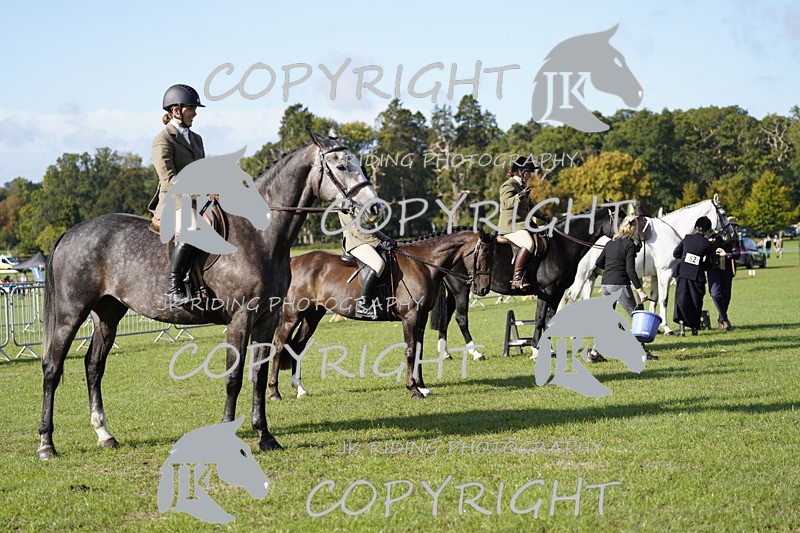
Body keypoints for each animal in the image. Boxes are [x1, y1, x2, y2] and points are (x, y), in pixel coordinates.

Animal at [38, 130, 383, 459]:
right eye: (341, 166)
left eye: (362, 165)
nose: (375, 208)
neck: (257, 236)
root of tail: (72, 232)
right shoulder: (241, 318)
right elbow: (234, 377)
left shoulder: (267, 318)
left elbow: (258, 376)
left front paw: (265, 436)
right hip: (71, 313)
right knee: (52, 367)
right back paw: (46, 444)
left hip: (108, 312)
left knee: (94, 366)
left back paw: (104, 434)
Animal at [267, 228, 495, 400]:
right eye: (484, 255)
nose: (483, 289)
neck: (423, 263)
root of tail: (294, 260)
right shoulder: (410, 316)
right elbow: (410, 351)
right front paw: (413, 389)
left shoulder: (420, 317)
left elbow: (419, 350)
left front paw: (422, 386)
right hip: (292, 315)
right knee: (279, 345)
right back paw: (274, 392)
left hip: (313, 315)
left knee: (297, 346)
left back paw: (300, 389)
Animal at [429, 204, 617, 359]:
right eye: (620, 217)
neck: (561, 245)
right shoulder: (546, 291)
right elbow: (540, 319)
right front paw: (536, 350)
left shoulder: (556, 292)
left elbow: (548, 319)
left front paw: (549, 350)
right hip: (461, 289)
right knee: (461, 318)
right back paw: (476, 353)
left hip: (453, 291)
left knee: (446, 318)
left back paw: (445, 354)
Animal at [560, 197, 735, 334]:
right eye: (723, 214)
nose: (731, 233)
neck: (671, 232)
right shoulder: (665, 273)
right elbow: (664, 300)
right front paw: (667, 328)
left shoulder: (655, 275)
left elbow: (655, 299)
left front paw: (657, 326)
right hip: (582, 275)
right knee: (571, 296)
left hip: (592, 276)